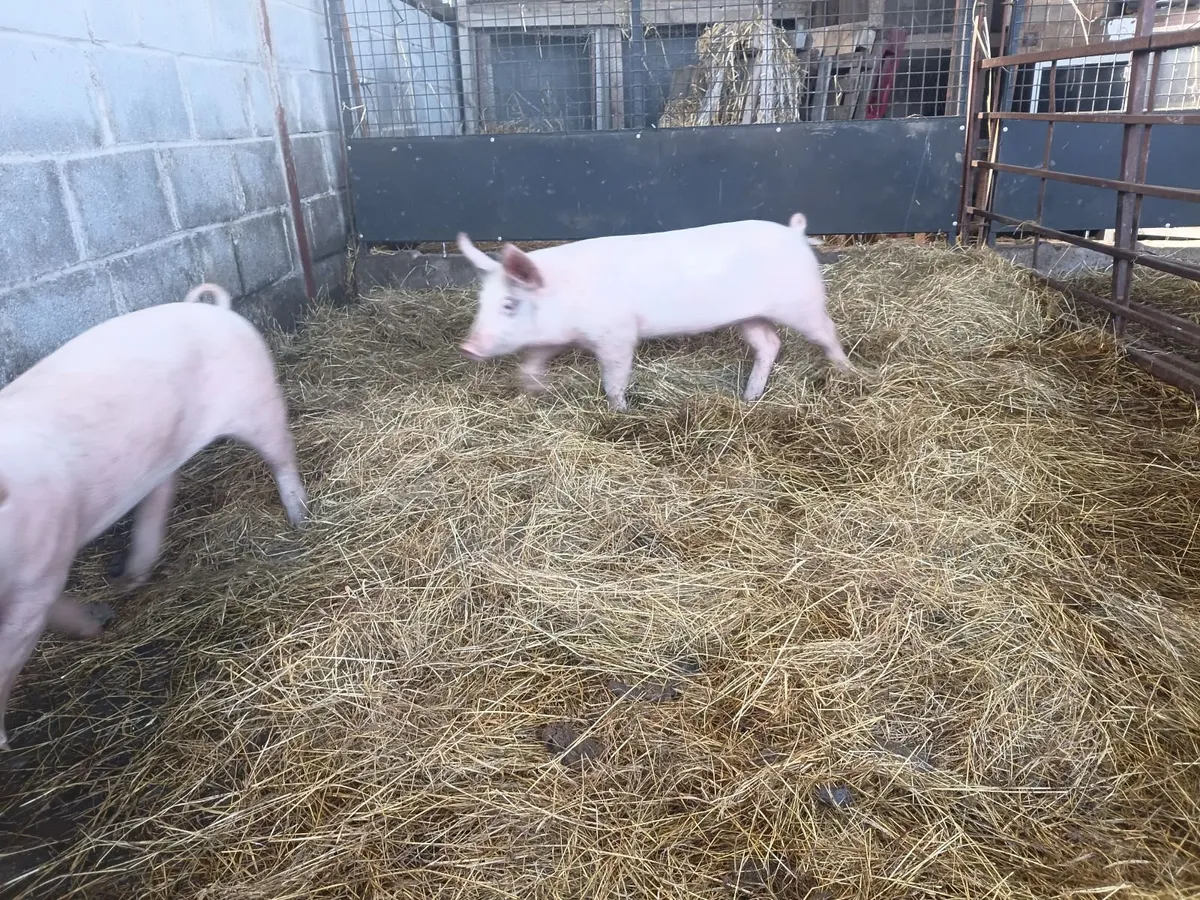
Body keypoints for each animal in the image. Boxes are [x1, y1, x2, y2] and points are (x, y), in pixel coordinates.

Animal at [0, 282, 308, 750]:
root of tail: (216, 310)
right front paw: (98, 620)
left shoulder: (40, 570)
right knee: (160, 494)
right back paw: (130, 580)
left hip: (259, 401)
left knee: (282, 456)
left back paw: (301, 518)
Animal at [456, 213, 853, 411]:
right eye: (482, 302)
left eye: (508, 304)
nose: (467, 347)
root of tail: (794, 232)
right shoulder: (553, 338)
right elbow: (532, 362)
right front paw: (534, 389)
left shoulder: (617, 334)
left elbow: (614, 379)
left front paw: (620, 412)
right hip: (749, 317)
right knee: (770, 344)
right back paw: (748, 398)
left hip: (802, 304)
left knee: (828, 331)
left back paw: (849, 372)